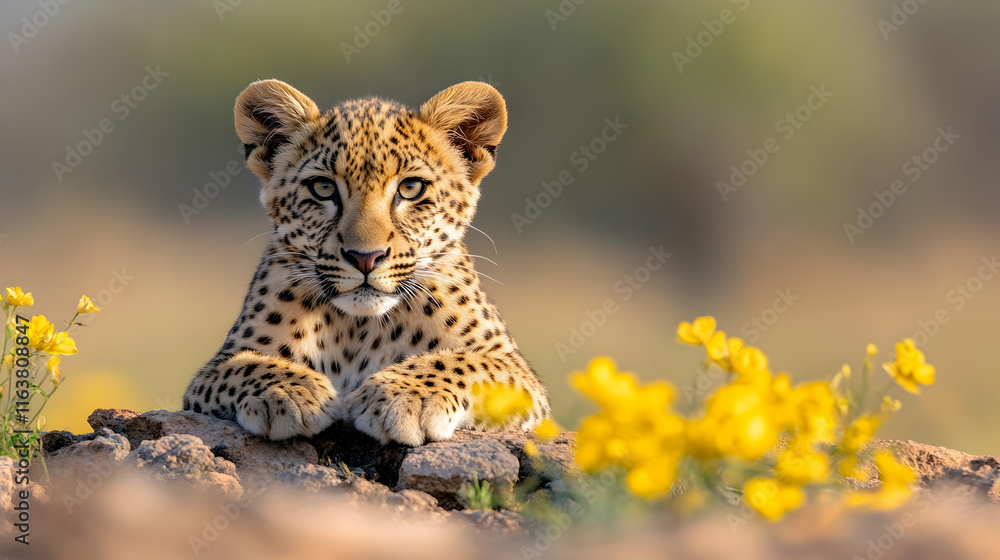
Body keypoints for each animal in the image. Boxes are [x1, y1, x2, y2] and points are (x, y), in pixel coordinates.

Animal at [182, 79, 551, 446]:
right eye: (323, 187)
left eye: (411, 187)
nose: (365, 257)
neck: (358, 329)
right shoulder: (216, 367)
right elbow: (245, 365)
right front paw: (291, 390)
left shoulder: (516, 369)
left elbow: (465, 363)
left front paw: (404, 396)